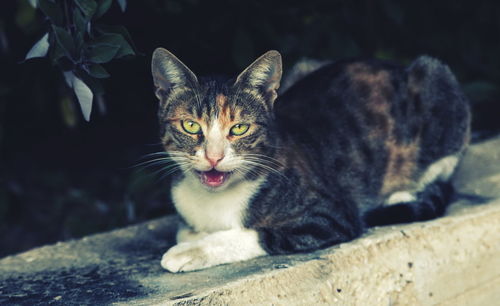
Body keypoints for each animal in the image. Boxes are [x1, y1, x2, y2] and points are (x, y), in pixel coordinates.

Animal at [150, 48, 470, 272]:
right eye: (191, 126)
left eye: (239, 128)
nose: (213, 157)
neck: (215, 200)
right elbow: (182, 230)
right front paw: (192, 238)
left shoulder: (331, 215)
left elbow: (261, 234)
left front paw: (192, 251)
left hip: (439, 82)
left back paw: (400, 195)